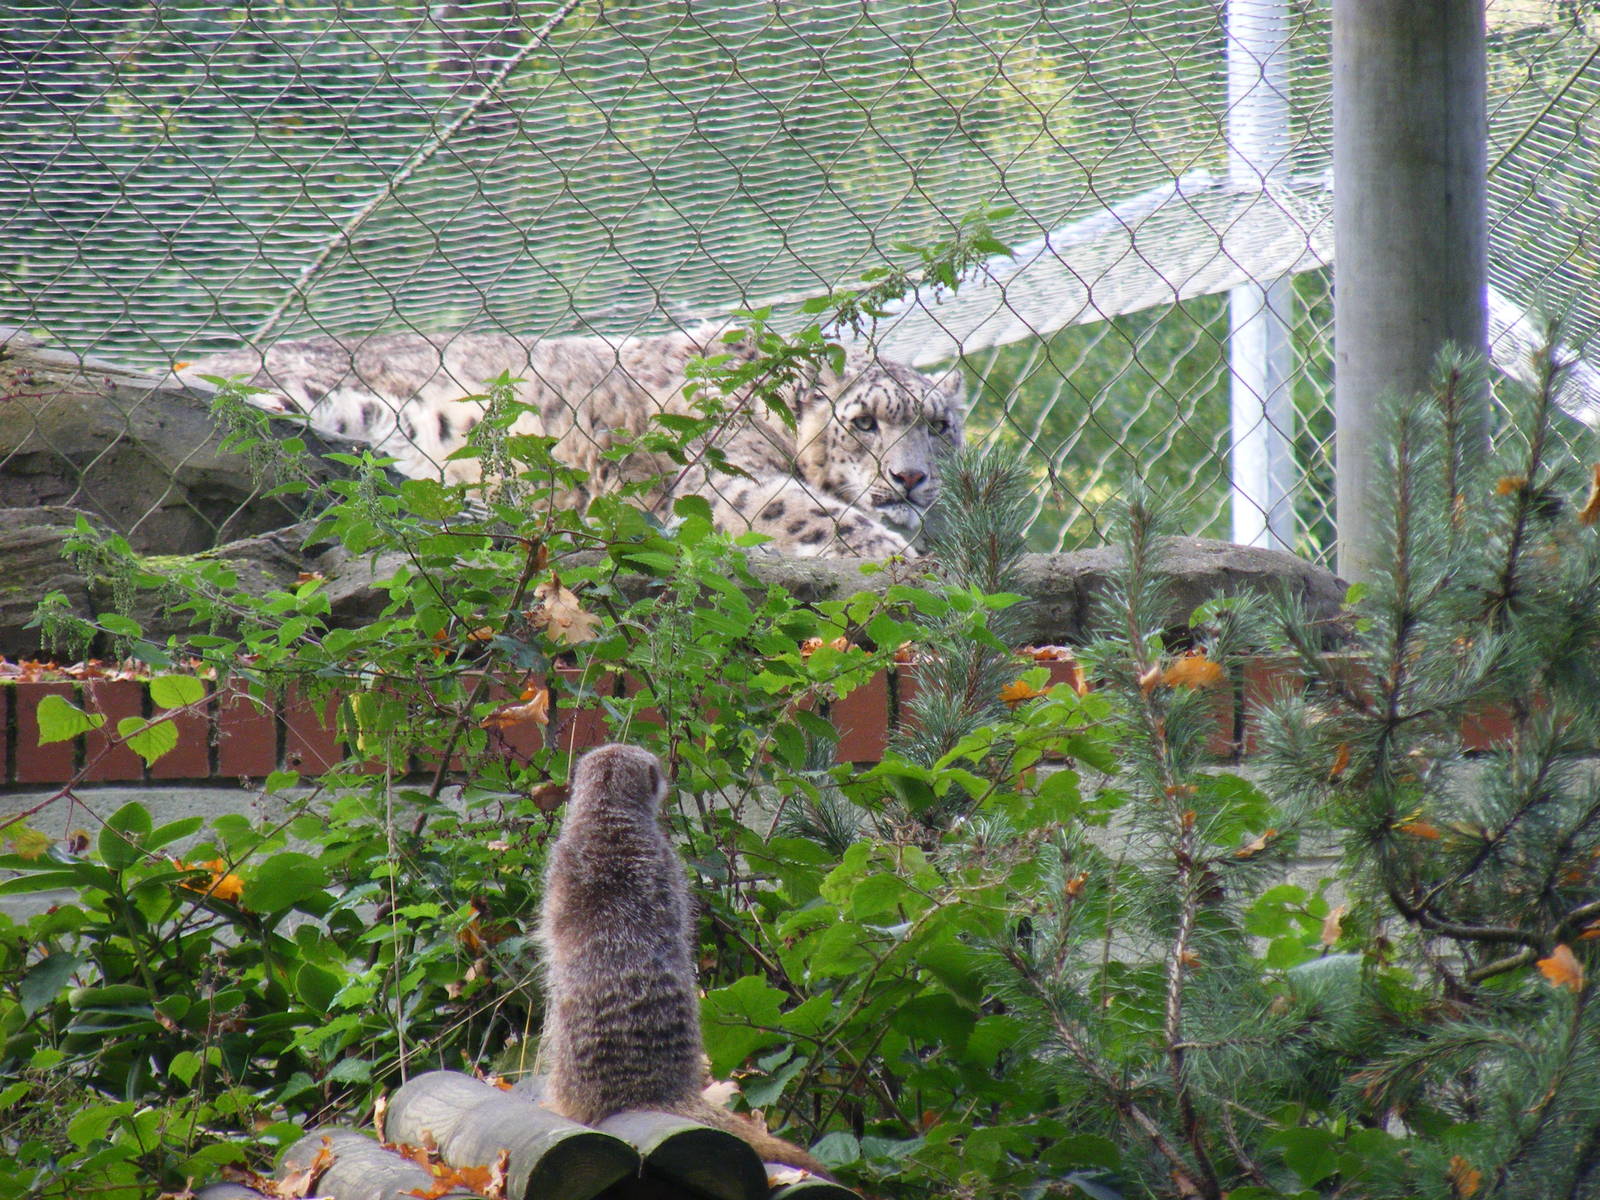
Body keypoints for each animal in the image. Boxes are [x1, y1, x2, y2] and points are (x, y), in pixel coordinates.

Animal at [176, 326, 965, 557]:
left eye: (938, 426)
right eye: (864, 422)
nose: (910, 480)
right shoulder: (714, 482)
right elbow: (809, 510)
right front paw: (903, 559)